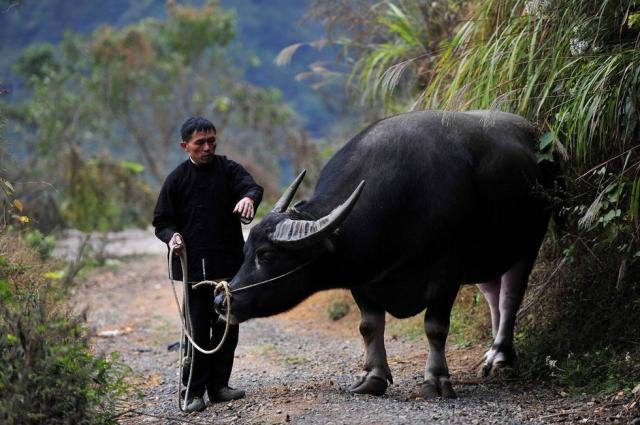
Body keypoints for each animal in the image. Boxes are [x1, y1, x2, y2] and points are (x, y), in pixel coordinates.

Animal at [216, 109, 556, 398]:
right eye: (245, 251)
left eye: (266, 255)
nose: (221, 300)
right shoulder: (364, 280)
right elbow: (369, 326)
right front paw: (372, 378)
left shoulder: (446, 274)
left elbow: (435, 328)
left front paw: (436, 381)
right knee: (492, 293)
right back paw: (490, 355)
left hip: (530, 242)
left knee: (511, 296)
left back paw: (502, 357)